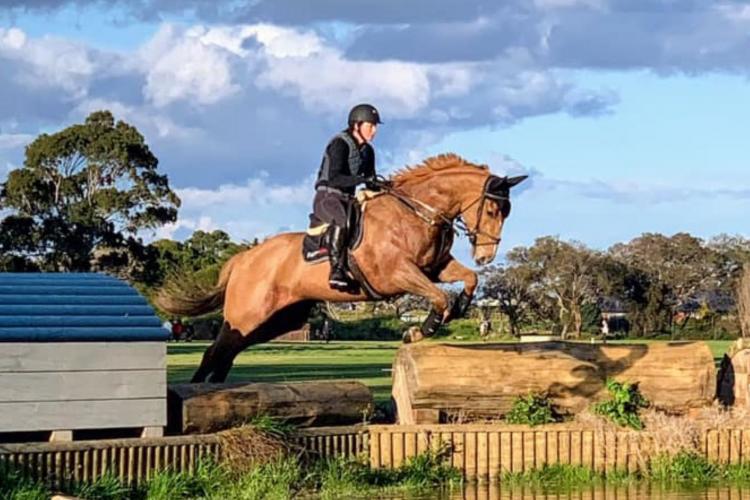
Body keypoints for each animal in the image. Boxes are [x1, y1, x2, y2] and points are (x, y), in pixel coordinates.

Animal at [155, 153, 524, 382]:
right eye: (494, 210)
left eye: (506, 213)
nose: (486, 256)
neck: (417, 212)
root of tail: (244, 259)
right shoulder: (397, 275)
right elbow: (439, 297)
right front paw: (421, 329)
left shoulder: (435, 268)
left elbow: (467, 279)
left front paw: (457, 309)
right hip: (247, 315)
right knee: (213, 354)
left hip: (275, 321)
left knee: (226, 356)